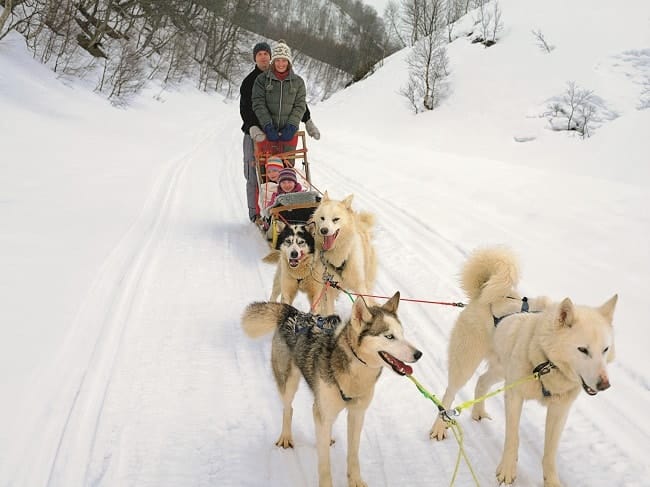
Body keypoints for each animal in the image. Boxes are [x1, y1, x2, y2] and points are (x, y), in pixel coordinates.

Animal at [242, 294, 420, 487]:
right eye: (389, 336)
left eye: (402, 334)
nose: (419, 354)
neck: (355, 374)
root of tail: (293, 312)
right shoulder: (322, 413)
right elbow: (324, 464)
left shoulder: (357, 414)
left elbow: (353, 454)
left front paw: (355, 480)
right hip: (289, 384)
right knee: (288, 409)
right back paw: (286, 437)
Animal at [428, 248, 616, 487]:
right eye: (583, 350)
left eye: (605, 349)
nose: (605, 384)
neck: (546, 362)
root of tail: (483, 294)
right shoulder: (514, 396)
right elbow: (513, 438)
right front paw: (507, 471)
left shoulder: (559, 410)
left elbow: (550, 453)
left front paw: (551, 481)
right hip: (466, 364)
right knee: (449, 394)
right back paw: (439, 426)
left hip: (501, 371)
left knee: (481, 381)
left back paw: (479, 412)